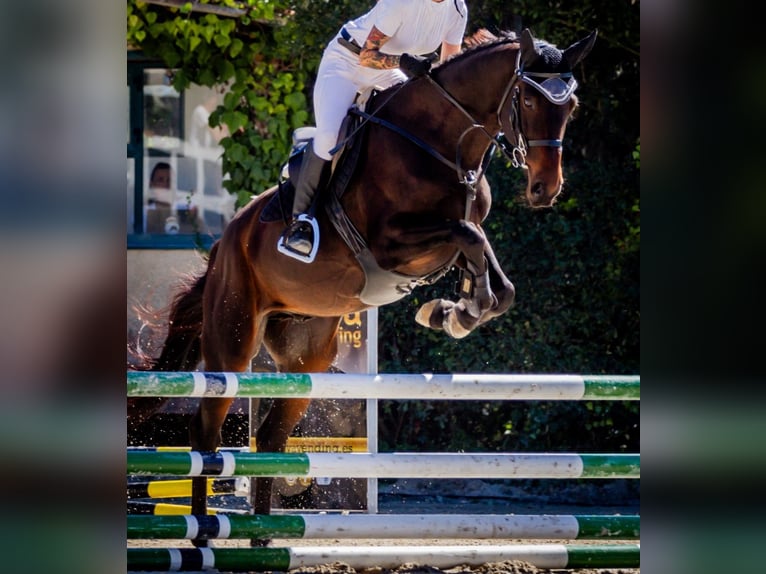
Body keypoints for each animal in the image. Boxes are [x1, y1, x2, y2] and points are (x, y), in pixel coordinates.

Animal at [129, 28, 600, 548]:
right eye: (527, 99)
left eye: (572, 105)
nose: (545, 189)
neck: (443, 146)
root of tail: (222, 245)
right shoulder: (392, 244)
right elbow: (470, 239)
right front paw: (455, 311)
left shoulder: (451, 239)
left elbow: (497, 278)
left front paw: (453, 311)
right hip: (232, 340)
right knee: (205, 431)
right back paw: (204, 537)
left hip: (306, 354)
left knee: (271, 437)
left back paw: (264, 540)